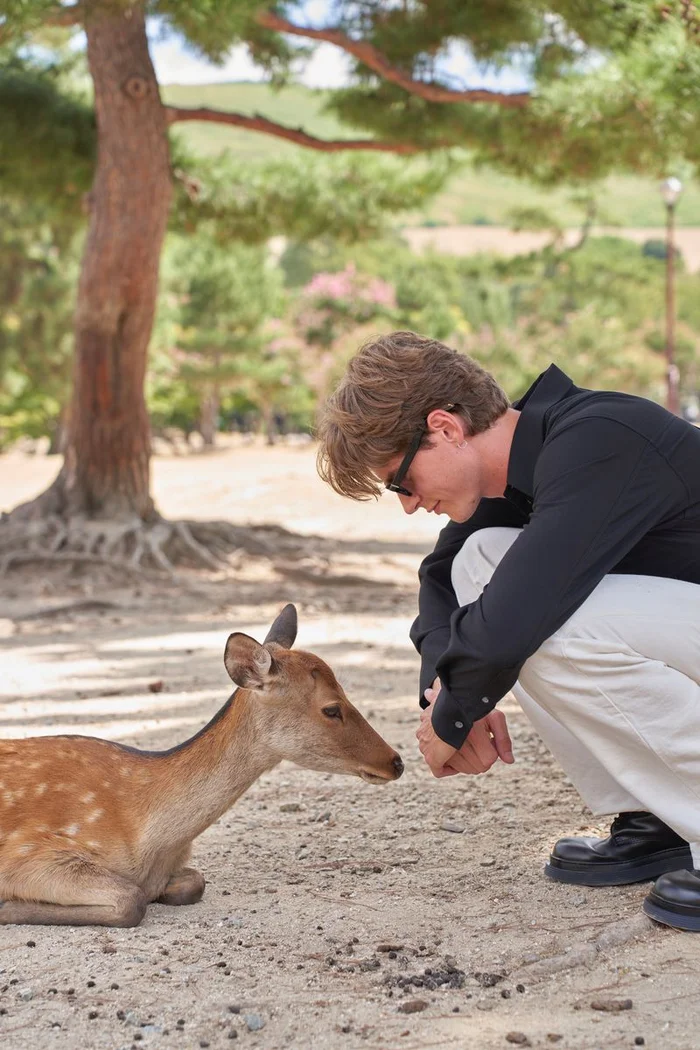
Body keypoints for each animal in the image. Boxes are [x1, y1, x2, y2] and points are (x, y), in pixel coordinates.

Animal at [0, 604, 403, 927]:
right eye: (331, 708)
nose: (396, 761)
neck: (149, 841)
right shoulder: (28, 852)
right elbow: (130, 900)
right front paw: (7, 905)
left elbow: (194, 882)